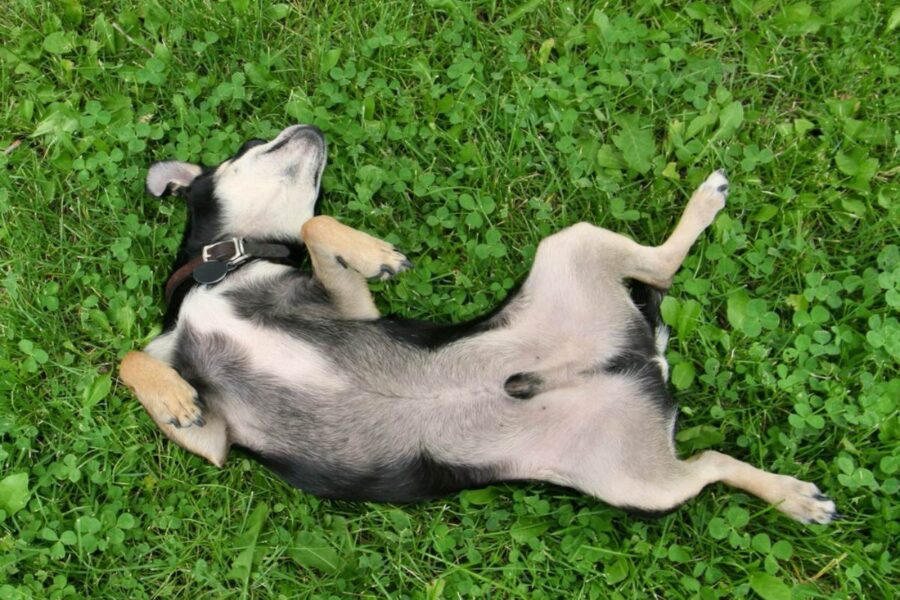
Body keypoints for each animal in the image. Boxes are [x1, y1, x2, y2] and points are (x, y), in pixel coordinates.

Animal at [119, 124, 836, 524]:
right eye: (249, 145)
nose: (311, 125)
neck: (225, 266)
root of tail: (643, 359)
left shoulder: (351, 311)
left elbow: (314, 225)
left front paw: (375, 252)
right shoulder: (215, 442)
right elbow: (132, 359)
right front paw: (173, 395)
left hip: (573, 252)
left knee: (661, 268)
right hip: (639, 480)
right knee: (709, 453)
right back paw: (792, 495)